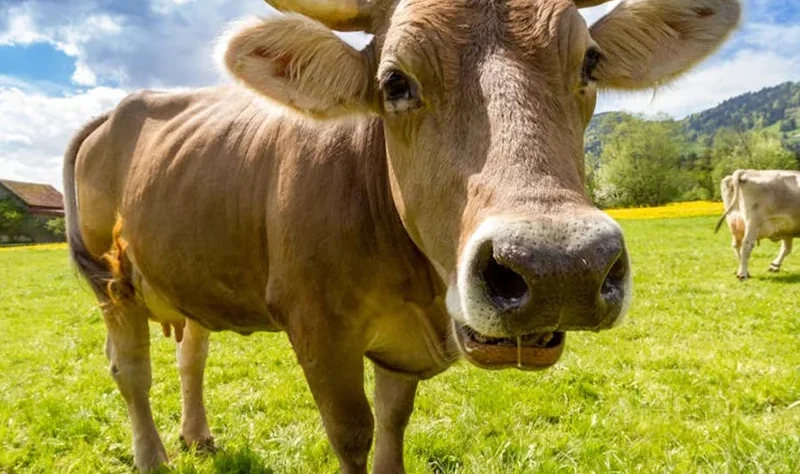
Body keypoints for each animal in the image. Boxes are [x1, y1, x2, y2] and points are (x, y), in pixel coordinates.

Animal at [64, 0, 740, 471]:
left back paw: (197, 436)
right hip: (112, 285)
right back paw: (153, 457)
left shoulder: (401, 349)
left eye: (589, 62)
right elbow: (353, 432)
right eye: (395, 82)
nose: (559, 268)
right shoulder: (318, 328)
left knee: (191, 354)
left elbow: (392, 423)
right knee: (131, 371)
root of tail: (122, 107)